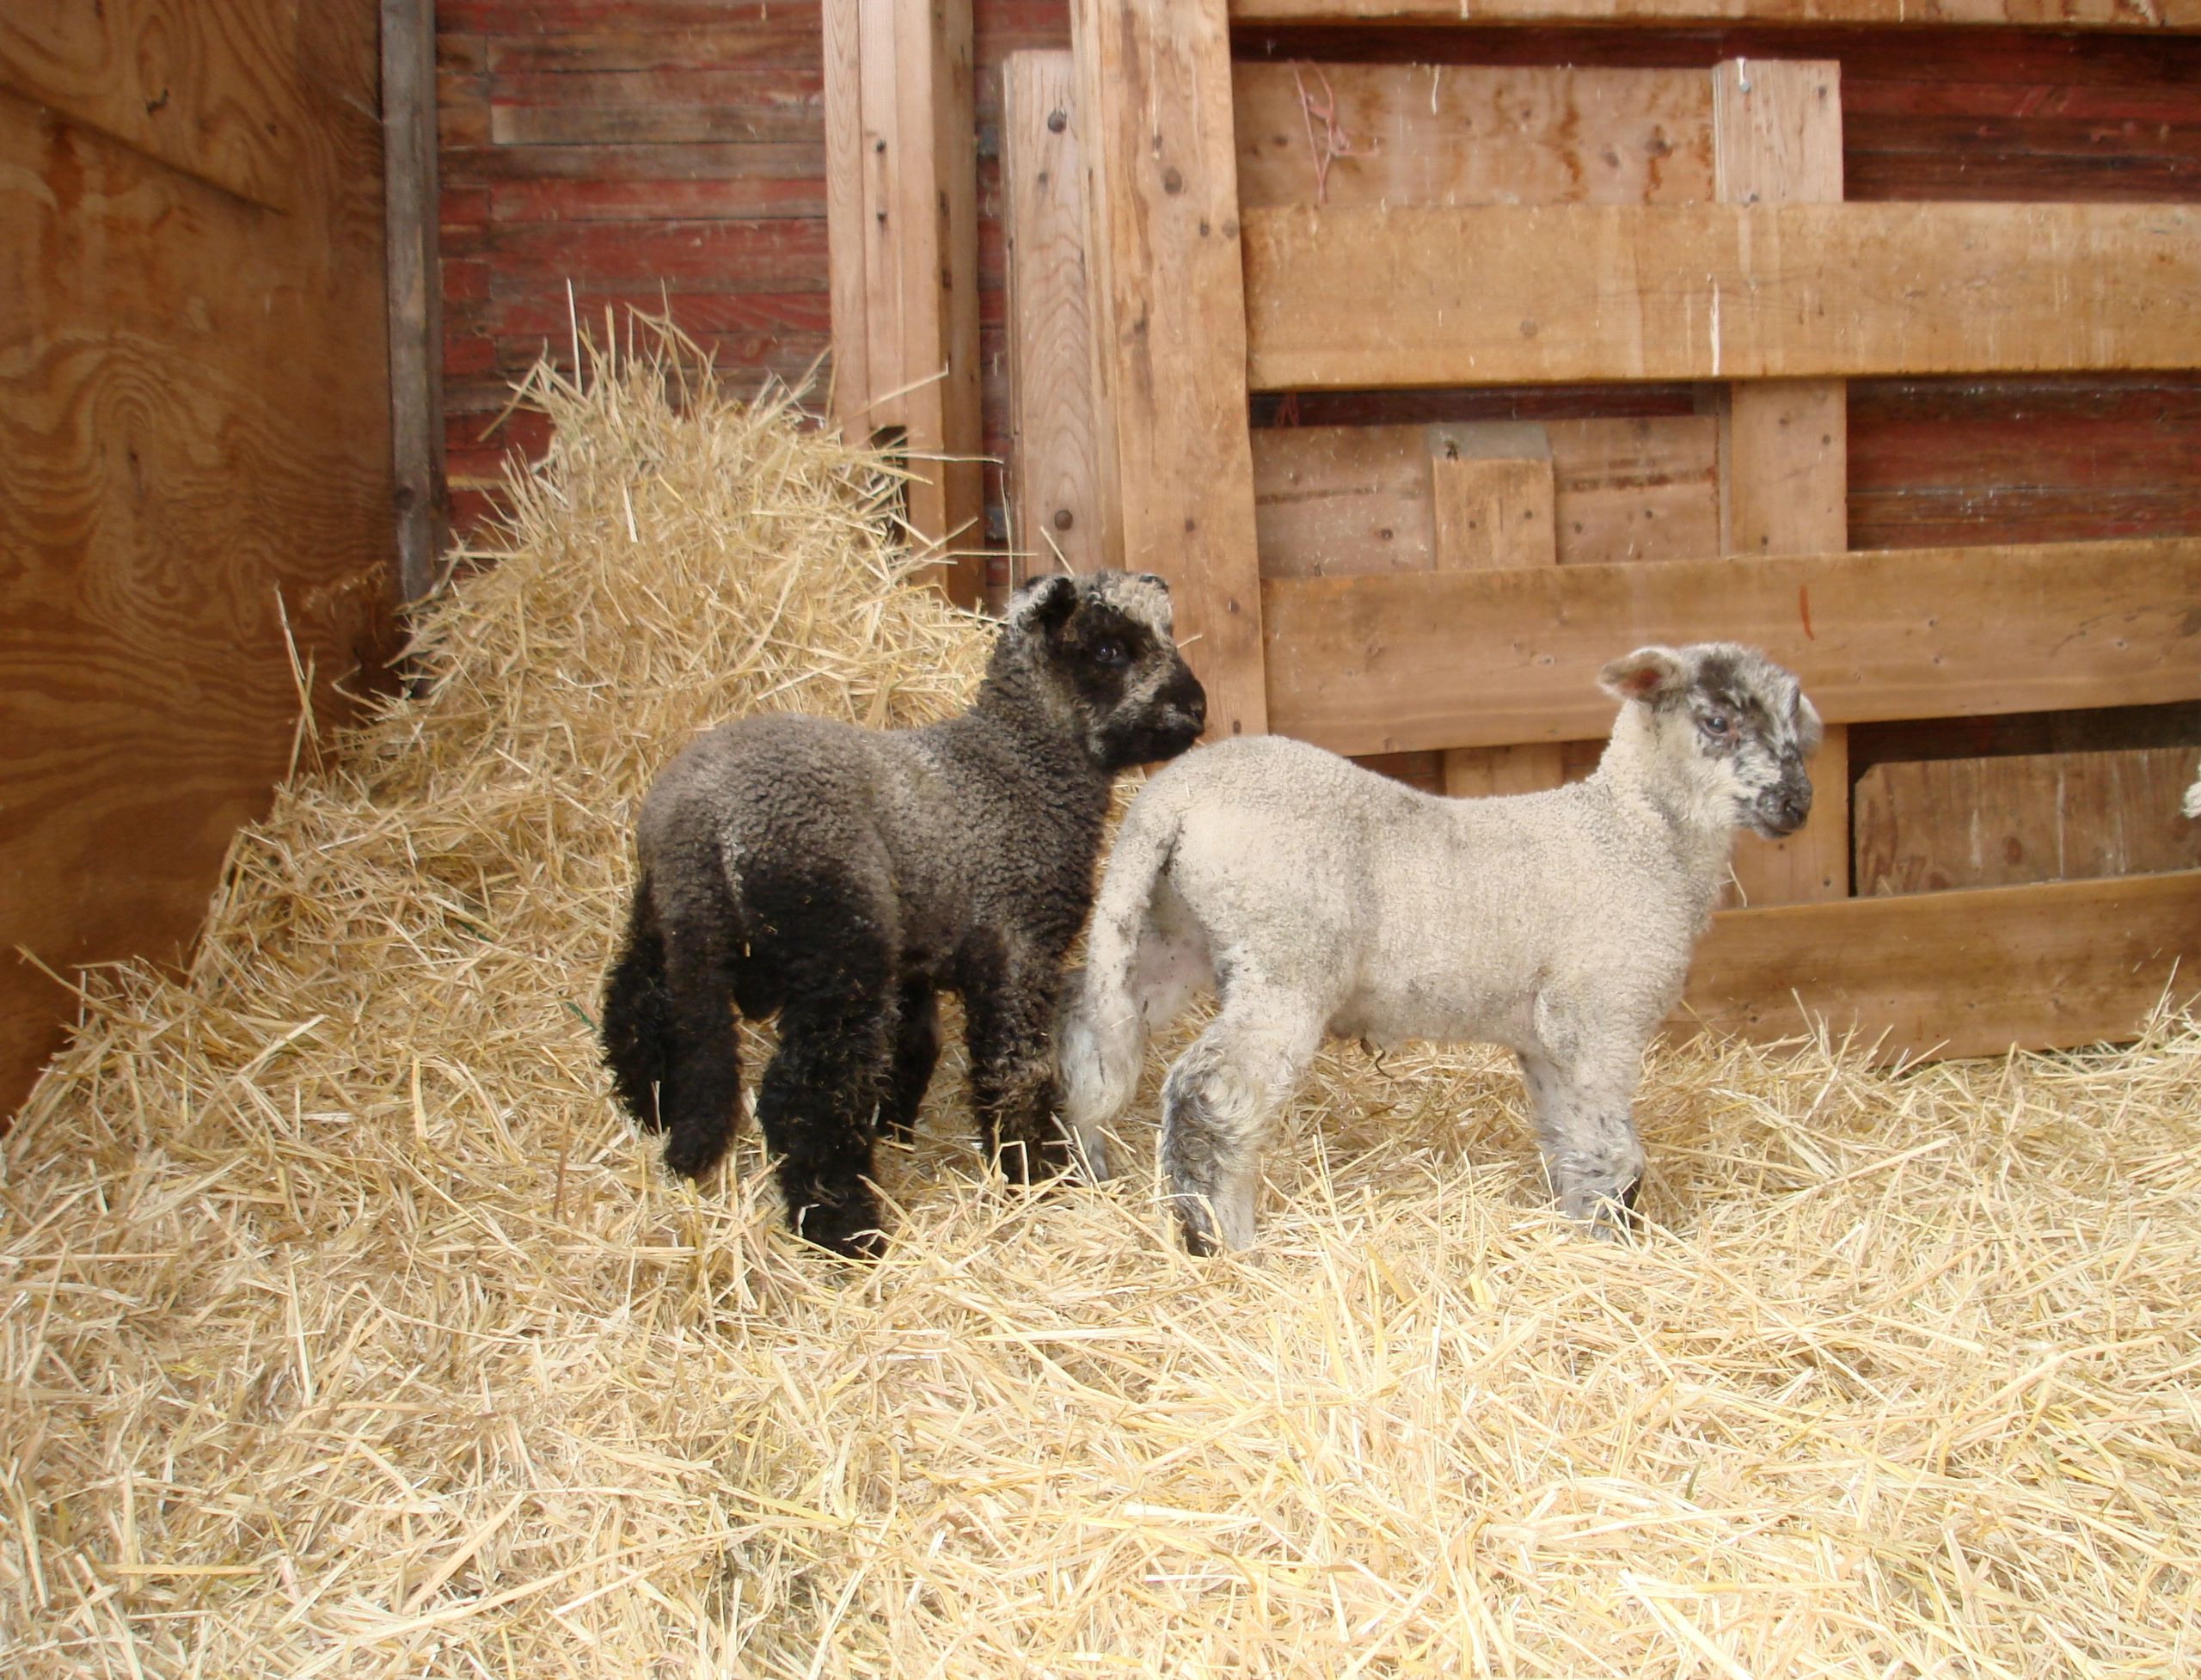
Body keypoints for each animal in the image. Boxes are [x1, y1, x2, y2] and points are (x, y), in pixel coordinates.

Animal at [600, 570, 1208, 1257]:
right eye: (1109, 649)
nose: (1196, 709)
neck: (1018, 762)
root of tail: (699, 817)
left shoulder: (918, 949)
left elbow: (914, 1046)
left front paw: (893, 1127)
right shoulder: (1016, 942)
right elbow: (1016, 1068)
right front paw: (1036, 1170)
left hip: (665, 922)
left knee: (636, 1010)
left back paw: (650, 1113)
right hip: (839, 939)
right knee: (803, 1094)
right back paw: (846, 1231)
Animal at [1058, 642, 1821, 1252]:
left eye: (1796, 730)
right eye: (1718, 721)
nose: (1797, 805)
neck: (1636, 831)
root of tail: (1171, 796)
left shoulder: (1548, 1040)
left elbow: (1569, 1141)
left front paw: (1579, 1230)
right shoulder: (1601, 1014)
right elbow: (1615, 1151)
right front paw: (1614, 1241)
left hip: (1167, 932)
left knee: (1085, 1028)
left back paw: (1087, 1161)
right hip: (1286, 959)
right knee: (1209, 1089)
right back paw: (1220, 1237)